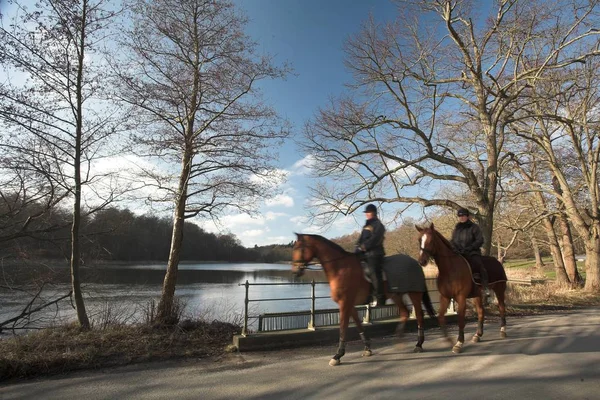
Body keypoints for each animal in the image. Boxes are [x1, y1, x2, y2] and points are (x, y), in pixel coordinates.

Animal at [290, 233, 434, 368]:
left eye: (299, 248)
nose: (295, 271)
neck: (340, 267)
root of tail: (415, 262)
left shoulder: (345, 303)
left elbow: (343, 328)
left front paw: (338, 355)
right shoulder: (350, 304)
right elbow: (358, 324)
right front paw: (367, 348)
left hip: (414, 294)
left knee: (419, 315)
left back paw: (419, 344)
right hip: (396, 295)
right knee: (404, 312)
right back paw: (399, 339)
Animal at [418, 225, 506, 354]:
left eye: (431, 240)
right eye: (419, 240)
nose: (422, 261)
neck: (449, 268)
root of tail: (497, 262)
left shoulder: (461, 298)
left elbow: (460, 320)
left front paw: (459, 343)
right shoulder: (445, 297)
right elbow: (441, 317)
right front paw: (449, 340)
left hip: (499, 290)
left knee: (501, 308)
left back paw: (503, 330)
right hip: (477, 295)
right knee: (481, 311)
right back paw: (477, 335)